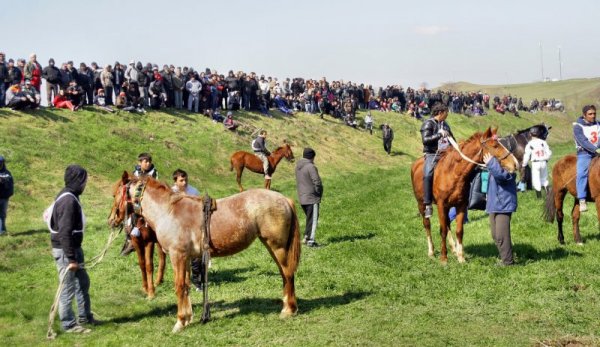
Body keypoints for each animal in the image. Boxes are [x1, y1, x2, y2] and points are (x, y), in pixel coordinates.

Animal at [108, 173, 300, 334]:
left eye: (115, 194)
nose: (111, 220)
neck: (169, 211)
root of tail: (284, 199)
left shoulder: (177, 256)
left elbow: (179, 286)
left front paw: (179, 322)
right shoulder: (185, 258)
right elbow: (185, 286)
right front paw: (187, 318)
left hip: (277, 247)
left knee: (288, 274)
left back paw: (289, 310)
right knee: (284, 275)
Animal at [410, 128, 516, 264]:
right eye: (495, 146)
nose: (515, 164)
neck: (454, 173)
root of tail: (415, 164)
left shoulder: (460, 205)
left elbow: (459, 231)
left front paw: (461, 257)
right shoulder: (441, 205)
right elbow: (442, 230)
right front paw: (443, 258)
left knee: (448, 223)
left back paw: (454, 249)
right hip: (421, 204)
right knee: (427, 224)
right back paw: (431, 251)